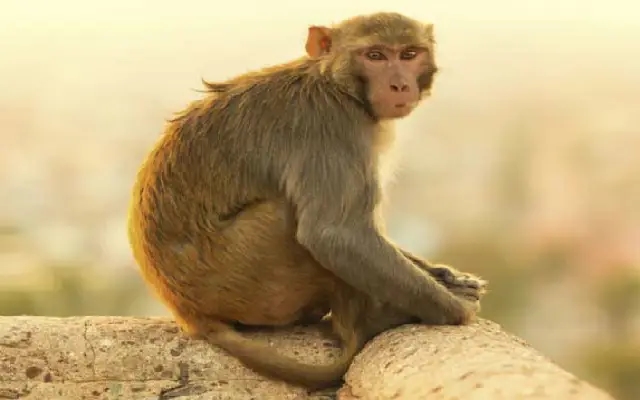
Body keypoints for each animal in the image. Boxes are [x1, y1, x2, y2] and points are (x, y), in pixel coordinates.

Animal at [127, 12, 487, 391]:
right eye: (375, 56)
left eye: (409, 54)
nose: (399, 85)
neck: (338, 86)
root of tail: (189, 314)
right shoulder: (331, 128)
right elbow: (335, 234)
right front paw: (457, 311)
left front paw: (444, 275)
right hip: (247, 280)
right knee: (289, 218)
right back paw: (369, 320)